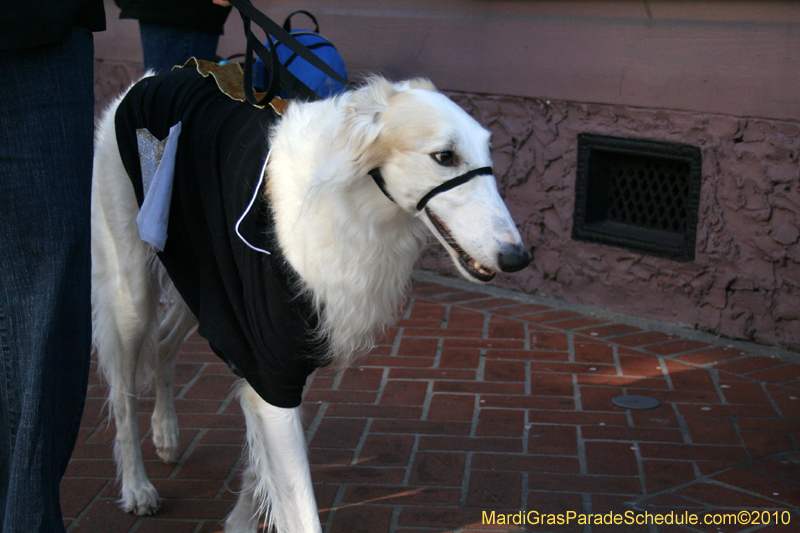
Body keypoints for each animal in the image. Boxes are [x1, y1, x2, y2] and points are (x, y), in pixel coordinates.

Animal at [92, 67, 532, 532]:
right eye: (444, 156)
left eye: (488, 150)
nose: (518, 258)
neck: (349, 204)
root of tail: (150, 77)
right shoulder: (271, 362)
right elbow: (298, 506)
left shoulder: (287, 352)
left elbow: (263, 468)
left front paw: (240, 520)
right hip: (131, 289)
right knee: (122, 395)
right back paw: (137, 487)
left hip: (200, 278)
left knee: (162, 344)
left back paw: (165, 432)